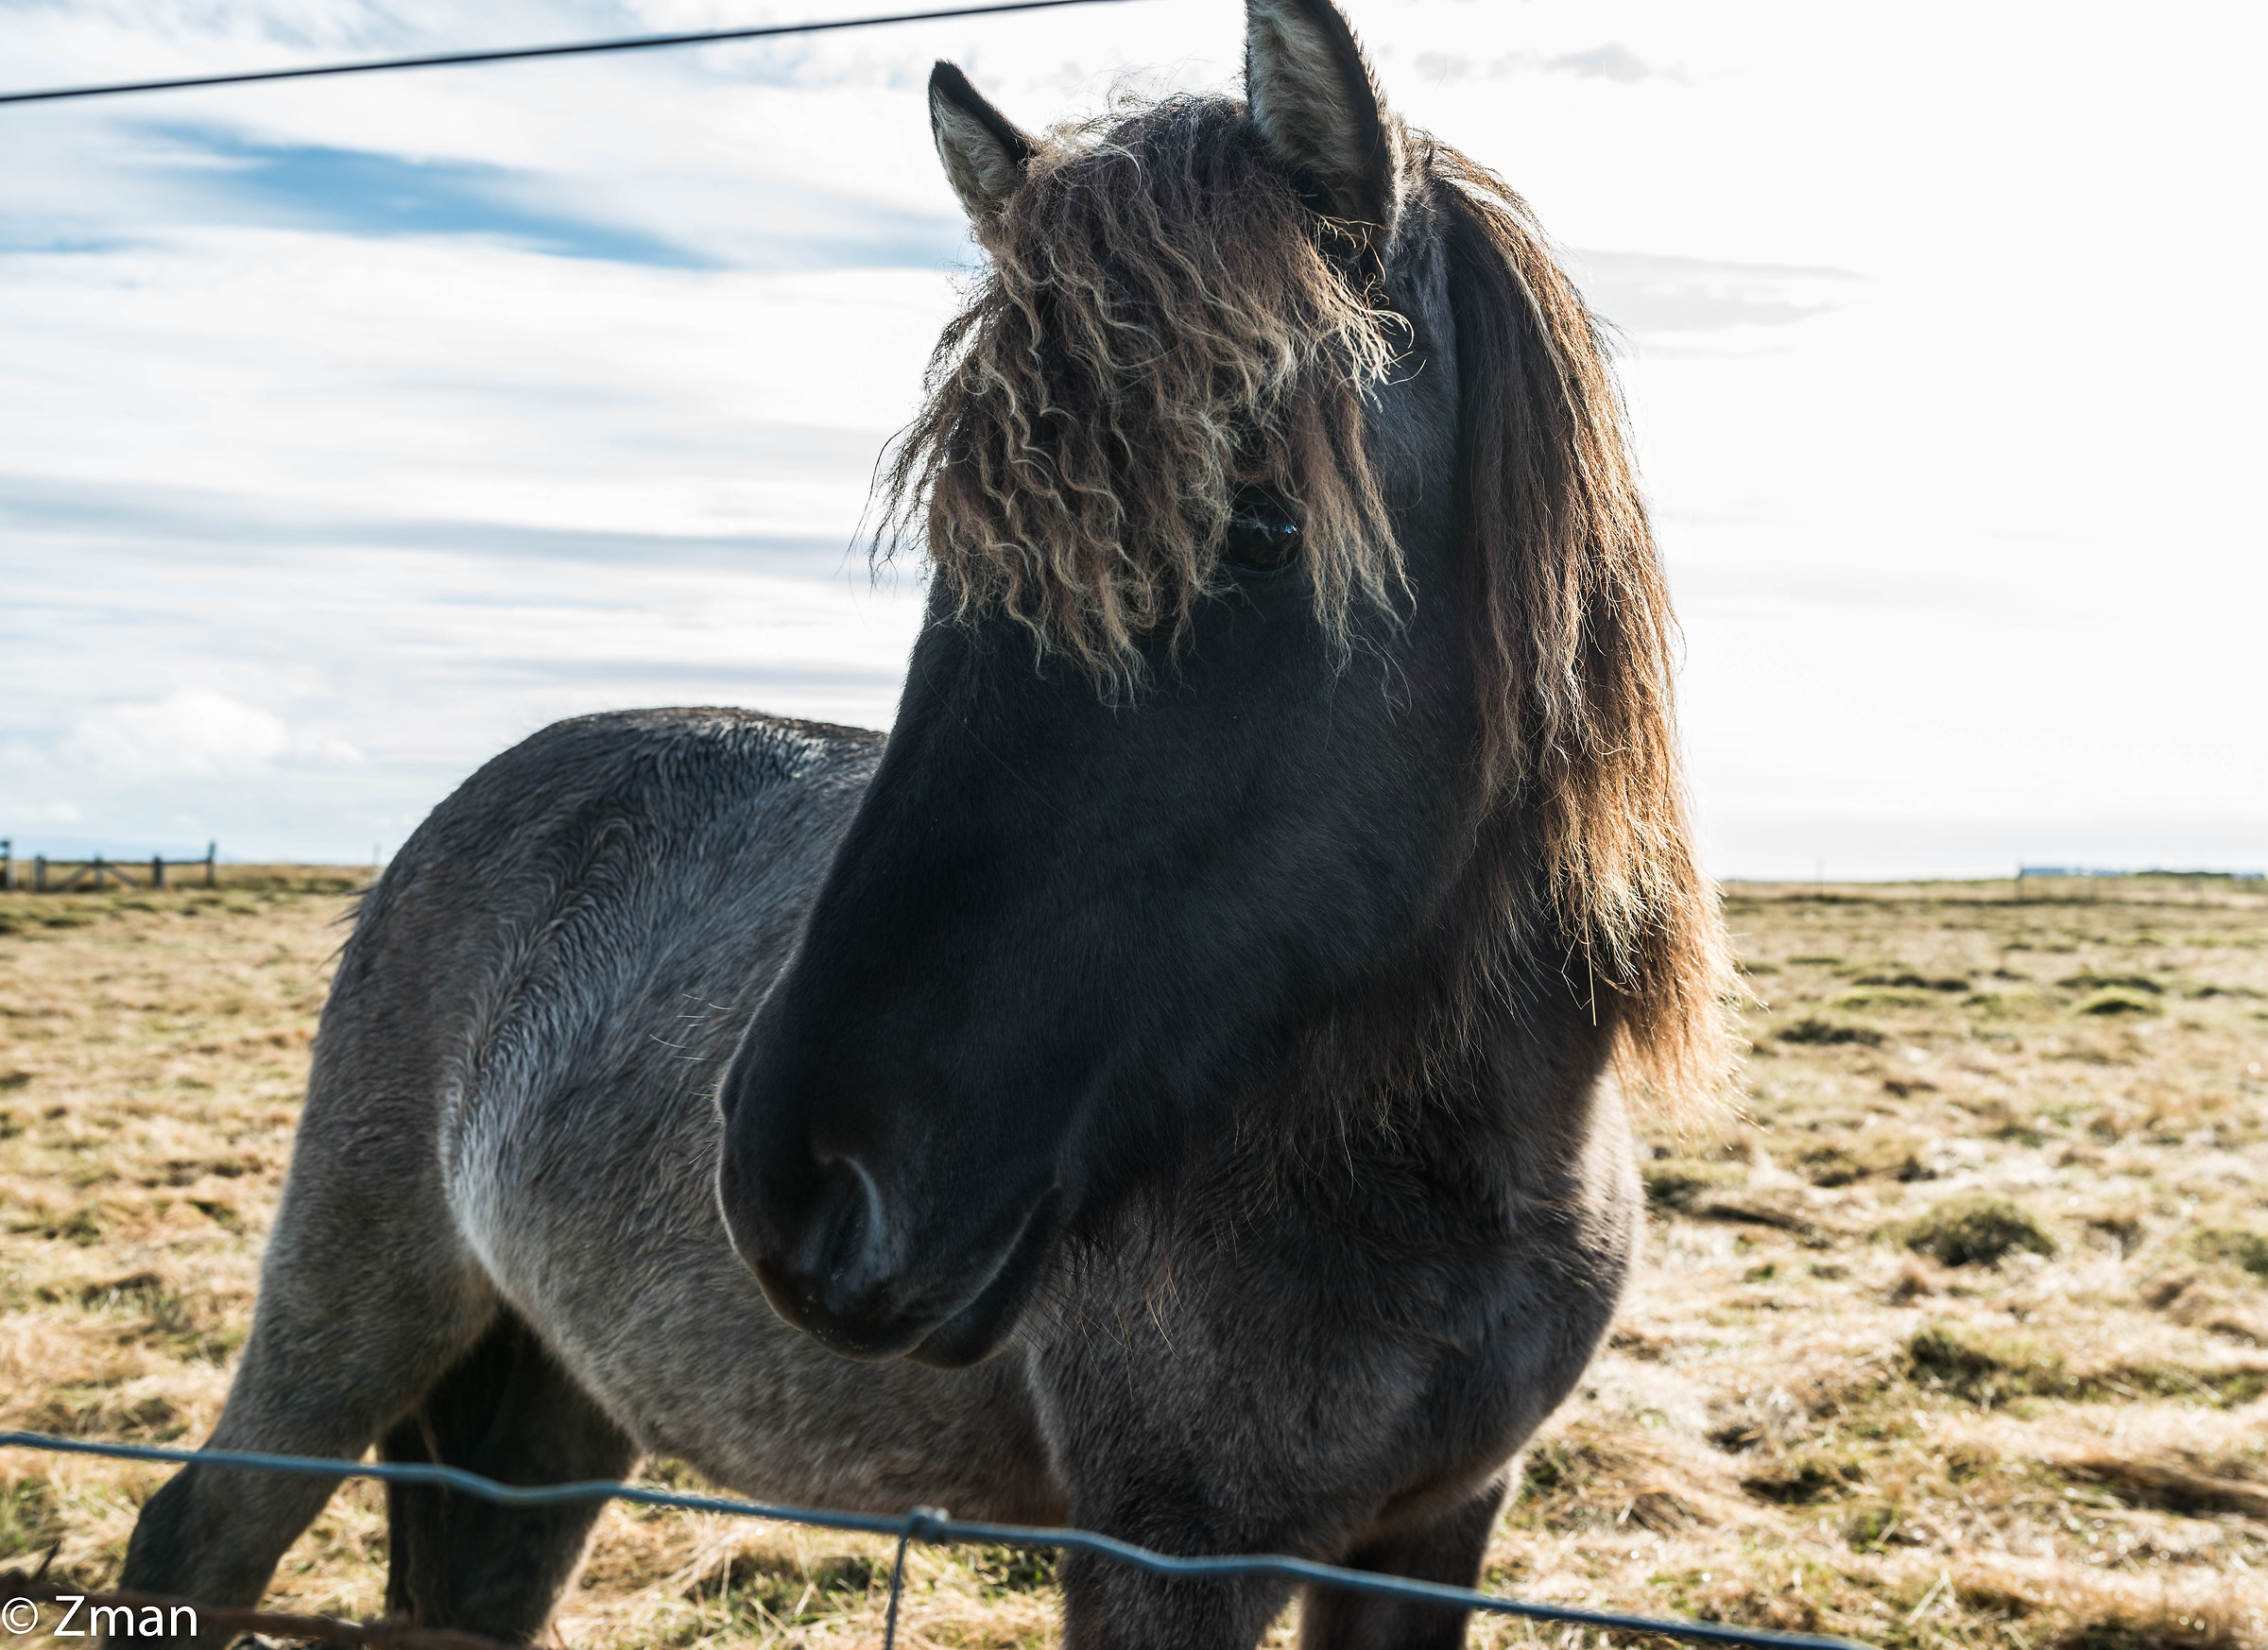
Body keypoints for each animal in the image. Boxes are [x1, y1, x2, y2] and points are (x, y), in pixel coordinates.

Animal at [117, 3, 1732, 1645]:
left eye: (1265, 526)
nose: (796, 1181)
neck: (1439, 1156)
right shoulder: (1168, 1551)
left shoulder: (1434, 1523)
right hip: (354, 1304)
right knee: (197, 1534)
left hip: (549, 1407)